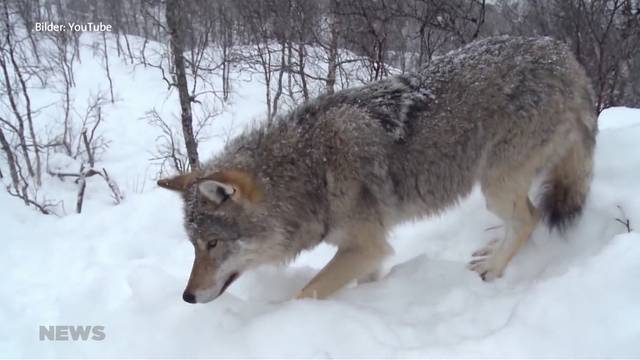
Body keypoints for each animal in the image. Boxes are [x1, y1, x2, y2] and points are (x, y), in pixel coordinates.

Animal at [158, 35, 596, 304]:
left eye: (213, 244)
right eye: (193, 246)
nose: (186, 297)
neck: (310, 171)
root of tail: (565, 55)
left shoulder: (366, 246)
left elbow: (304, 294)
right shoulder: (364, 251)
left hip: (495, 184)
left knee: (530, 217)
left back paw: (491, 268)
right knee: (521, 220)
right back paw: (490, 250)